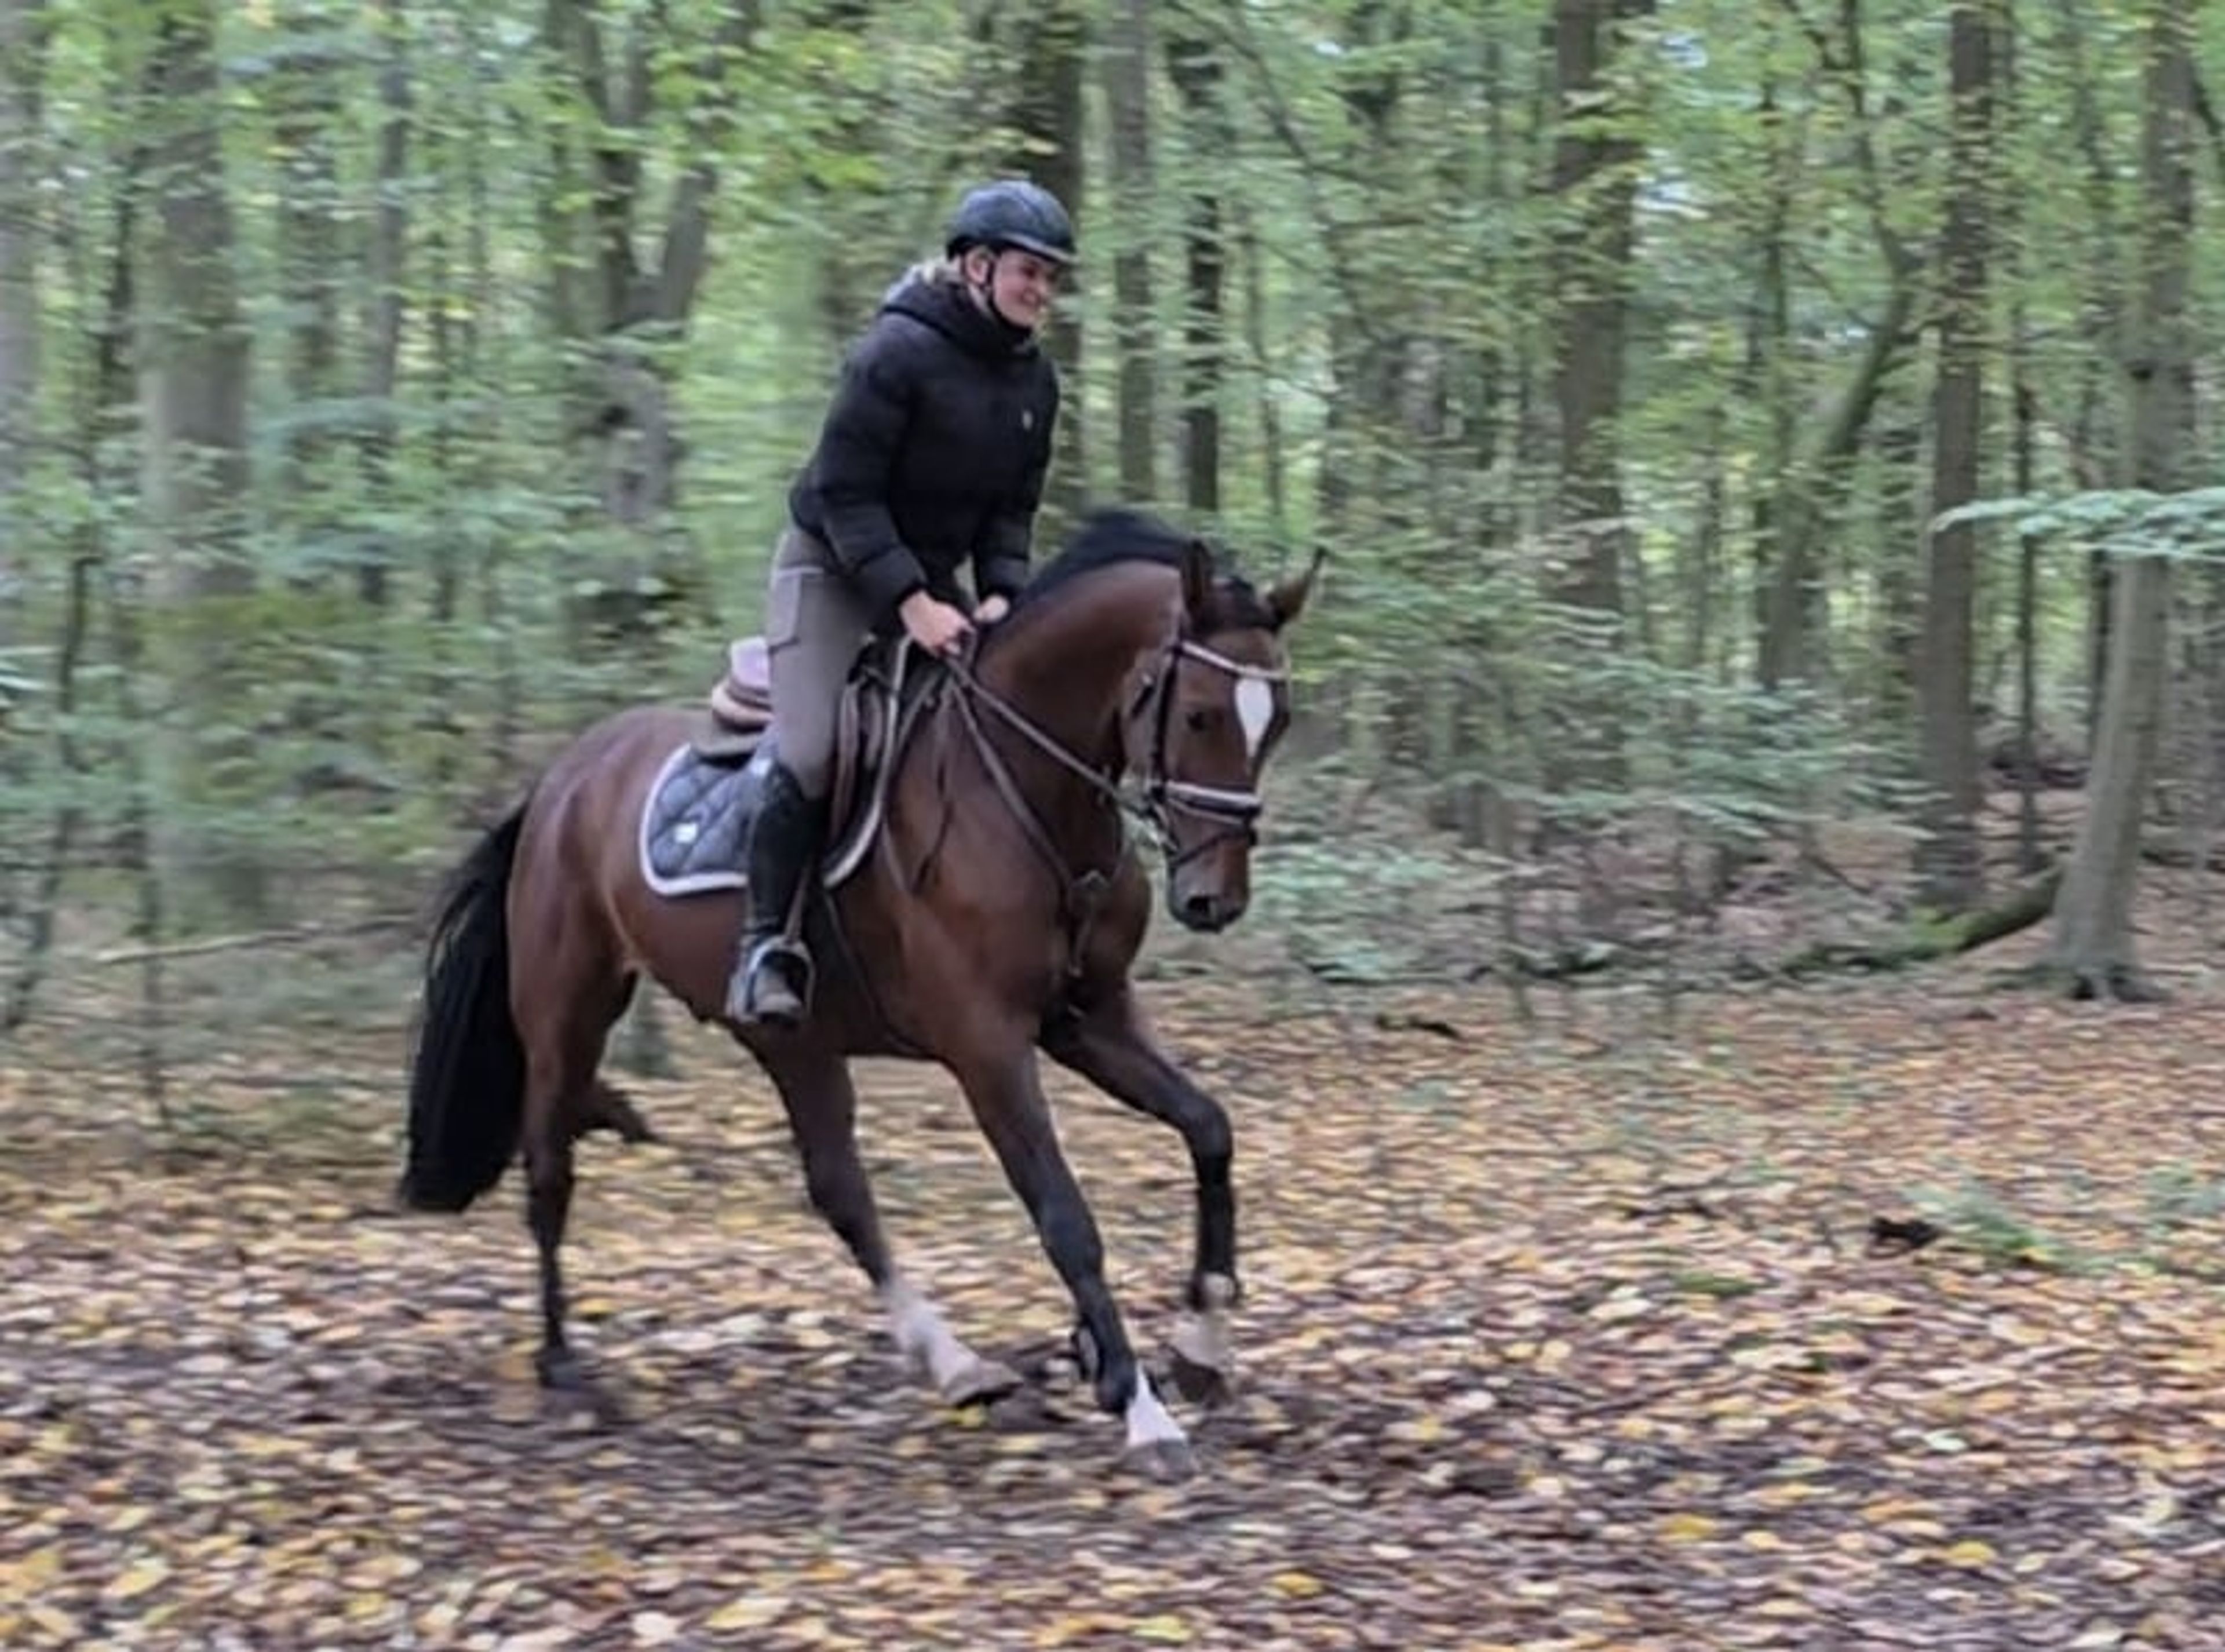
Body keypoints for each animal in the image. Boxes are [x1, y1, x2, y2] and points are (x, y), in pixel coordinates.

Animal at [397, 506, 1318, 1477]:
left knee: (839, 1188)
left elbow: (1209, 1128)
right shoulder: (987, 1044)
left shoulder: (1088, 1017)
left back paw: (954, 1363)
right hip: (568, 1007)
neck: (1029, 790)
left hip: (789, 1036)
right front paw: (1141, 1405)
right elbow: (1066, 1215)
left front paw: (1200, 1344)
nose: (1214, 899)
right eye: (1200, 712)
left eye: (1278, 721)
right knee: (550, 1168)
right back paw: (563, 1366)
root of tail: (563, 777)